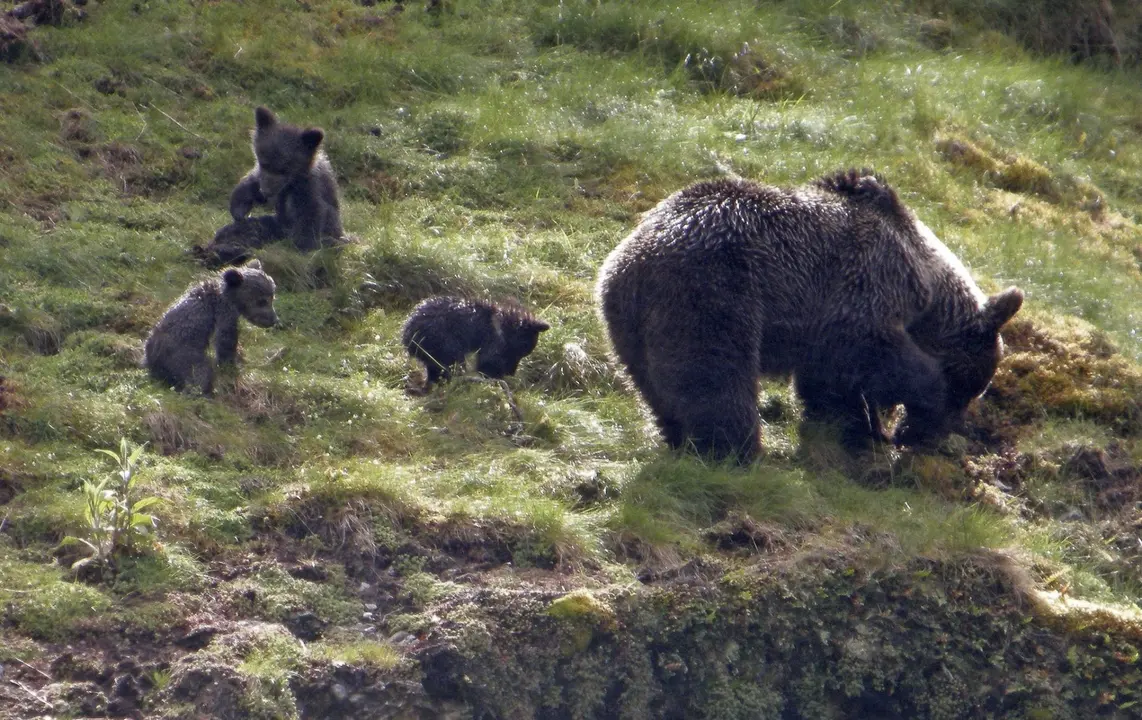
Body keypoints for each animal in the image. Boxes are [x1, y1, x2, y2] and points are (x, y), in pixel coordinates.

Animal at [144, 259, 278, 395]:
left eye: (272, 297)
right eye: (261, 301)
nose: (274, 320)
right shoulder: (224, 312)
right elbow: (225, 340)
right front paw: (231, 367)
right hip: (182, 354)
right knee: (199, 372)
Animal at [201, 106, 343, 265]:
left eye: (284, 168)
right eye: (264, 162)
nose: (267, 191)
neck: (291, 184)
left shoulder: (308, 190)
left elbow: (311, 215)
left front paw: (303, 249)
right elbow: (250, 184)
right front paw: (239, 208)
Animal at [401, 296, 550, 392]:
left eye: (523, 351)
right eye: (522, 348)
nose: (511, 372)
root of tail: (408, 333)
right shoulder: (492, 342)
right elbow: (488, 362)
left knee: (435, 369)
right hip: (442, 341)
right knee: (451, 364)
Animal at [596, 169, 1023, 462]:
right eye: (966, 387)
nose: (927, 435)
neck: (926, 281)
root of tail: (634, 259)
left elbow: (830, 381)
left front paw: (849, 426)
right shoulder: (864, 284)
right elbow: (871, 350)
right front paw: (911, 400)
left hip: (627, 323)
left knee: (655, 384)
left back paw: (677, 434)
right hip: (713, 293)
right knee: (715, 376)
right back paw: (735, 450)